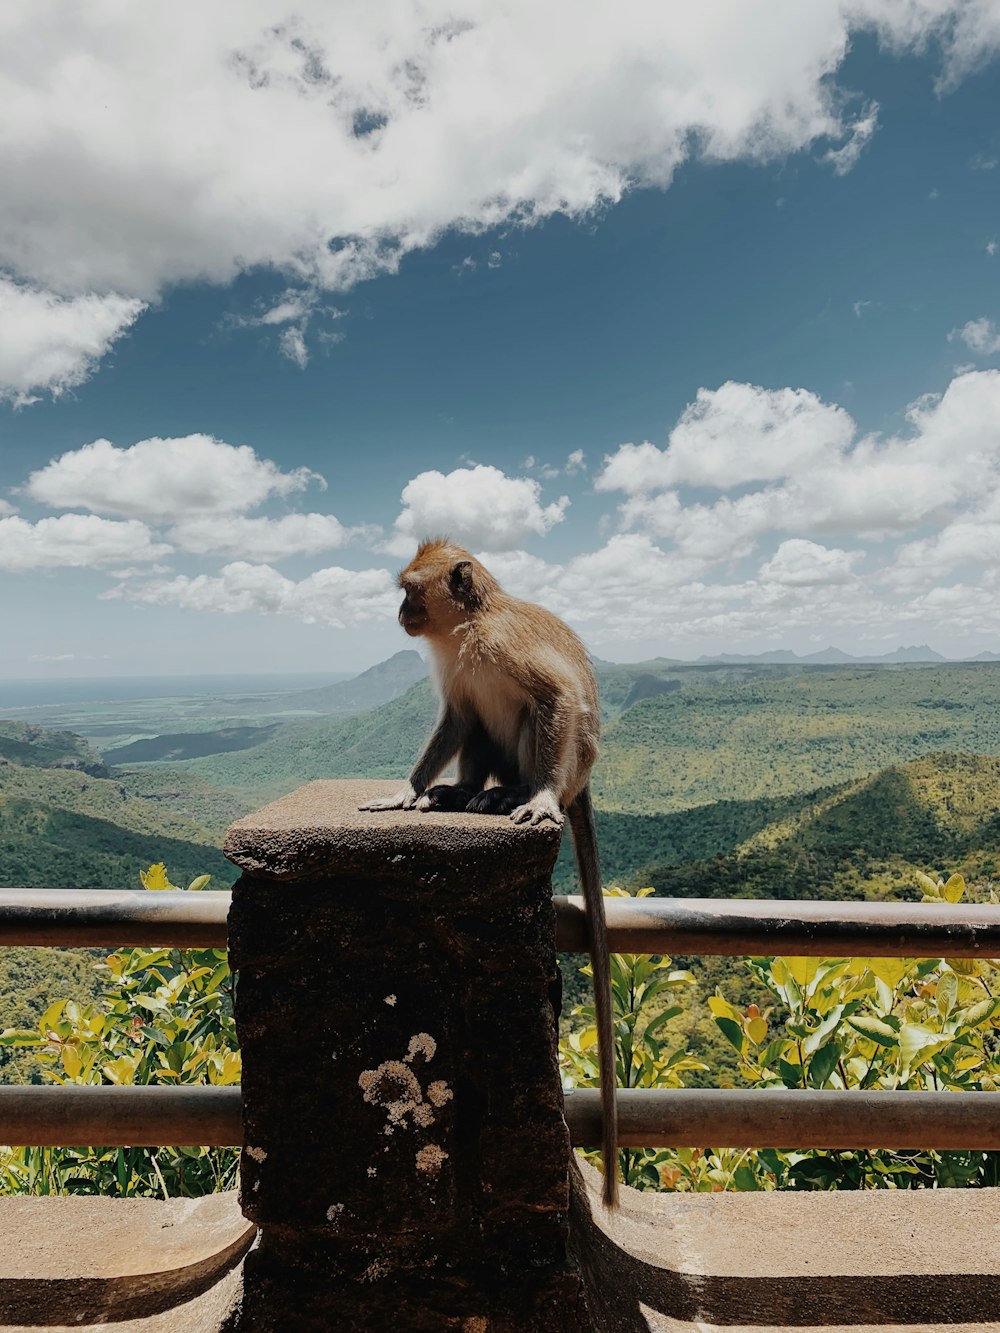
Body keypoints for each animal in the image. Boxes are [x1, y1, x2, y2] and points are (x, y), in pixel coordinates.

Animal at [352, 538, 618, 1210]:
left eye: (409, 589)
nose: (399, 613)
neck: (467, 629)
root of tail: (585, 782)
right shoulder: (455, 665)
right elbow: (454, 717)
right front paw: (409, 791)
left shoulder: (503, 644)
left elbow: (556, 698)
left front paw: (538, 798)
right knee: (473, 721)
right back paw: (465, 790)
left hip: (568, 763)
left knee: (532, 718)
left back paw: (514, 795)